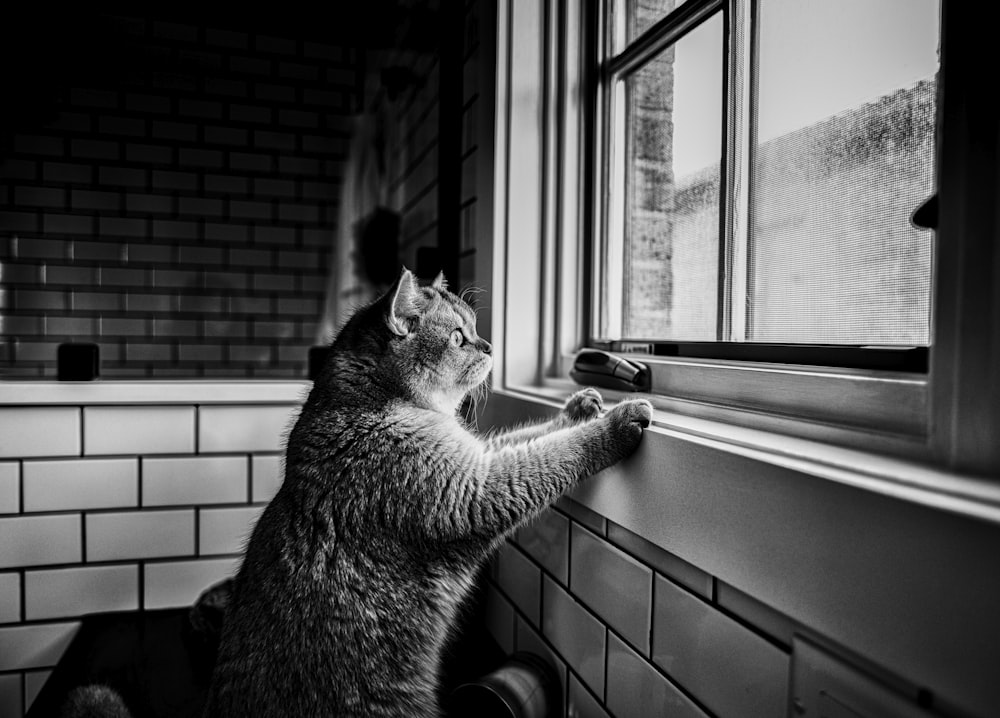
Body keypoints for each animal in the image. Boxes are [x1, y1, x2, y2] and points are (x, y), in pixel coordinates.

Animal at [205, 270, 656, 718]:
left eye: (474, 329)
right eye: (457, 337)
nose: (489, 346)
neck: (375, 403)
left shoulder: (476, 454)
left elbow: (533, 435)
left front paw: (579, 408)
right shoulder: (475, 489)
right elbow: (555, 453)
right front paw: (616, 423)